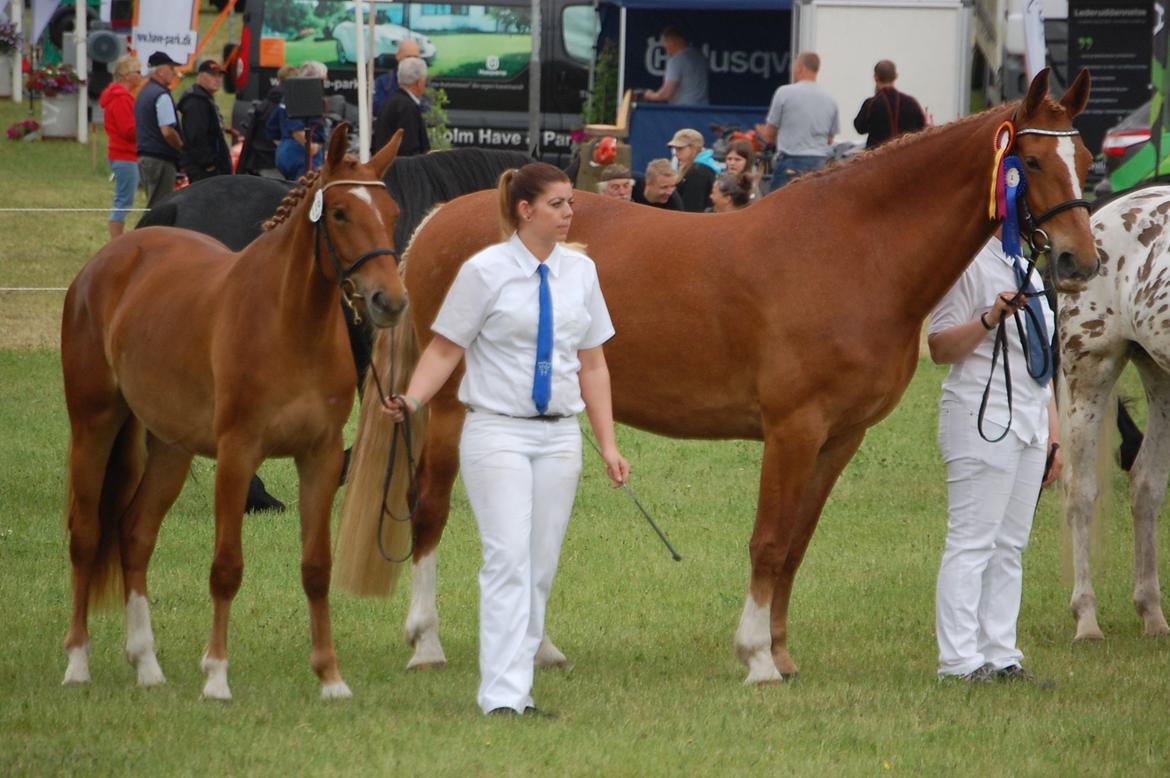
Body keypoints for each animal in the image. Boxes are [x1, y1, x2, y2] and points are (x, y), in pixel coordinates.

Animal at [65, 125, 411, 697]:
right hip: (93, 426)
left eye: (392, 210)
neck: (287, 326)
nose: (390, 301)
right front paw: (217, 677)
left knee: (135, 535)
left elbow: (316, 567)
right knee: (87, 535)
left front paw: (330, 678)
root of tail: (114, 256)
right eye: (339, 212)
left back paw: (148, 665)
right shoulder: (237, 456)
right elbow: (226, 567)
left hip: (169, 449)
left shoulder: (319, 459)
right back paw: (77, 663)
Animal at [336, 71, 1095, 678]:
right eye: (1029, 159)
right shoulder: (793, 430)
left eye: (1084, 156)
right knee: (430, 508)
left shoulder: (838, 439)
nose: (1078, 261)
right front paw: (756, 657)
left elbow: (796, 546)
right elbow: (768, 540)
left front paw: (782, 654)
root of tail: (437, 222)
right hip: (450, 407)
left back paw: (538, 649)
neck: (852, 250)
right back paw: (427, 643)